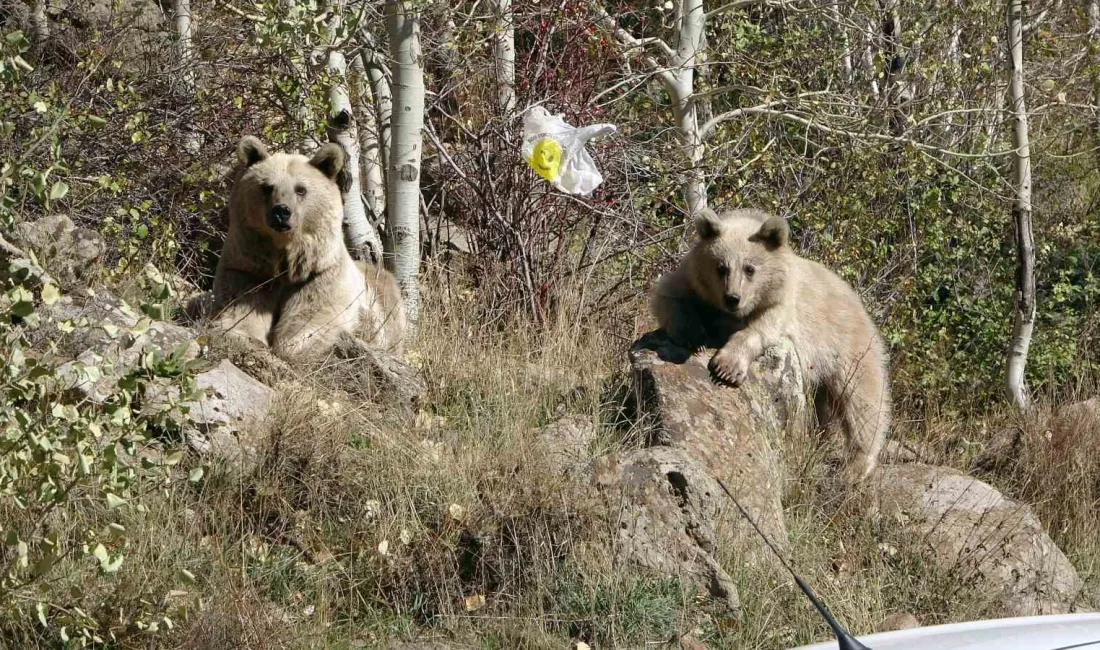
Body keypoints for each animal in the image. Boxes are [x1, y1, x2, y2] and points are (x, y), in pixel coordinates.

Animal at [212, 137, 407, 360]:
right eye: (267, 187)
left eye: (300, 189)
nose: (281, 211)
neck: (285, 258)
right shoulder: (248, 268)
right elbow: (240, 307)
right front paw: (242, 334)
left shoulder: (321, 275)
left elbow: (311, 319)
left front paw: (290, 344)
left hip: (385, 304)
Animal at [651, 208, 893, 483]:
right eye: (721, 267)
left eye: (750, 268)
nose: (733, 298)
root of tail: (859, 303)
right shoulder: (690, 280)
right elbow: (667, 296)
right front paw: (693, 334)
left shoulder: (782, 303)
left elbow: (760, 329)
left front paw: (727, 367)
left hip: (850, 346)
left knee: (863, 400)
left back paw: (857, 465)